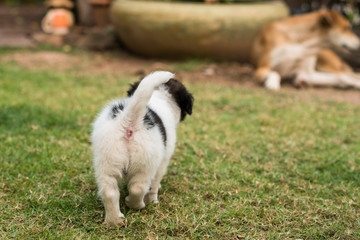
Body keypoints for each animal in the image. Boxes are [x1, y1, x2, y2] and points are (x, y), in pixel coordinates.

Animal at [91, 71, 195, 225]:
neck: (159, 96)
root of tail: (130, 119)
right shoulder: (163, 161)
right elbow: (154, 185)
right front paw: (153, 201)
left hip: (107, 160)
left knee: (109, 192)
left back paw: (114, 220)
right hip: (145, 163)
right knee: (138, 188)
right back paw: (136, 204)